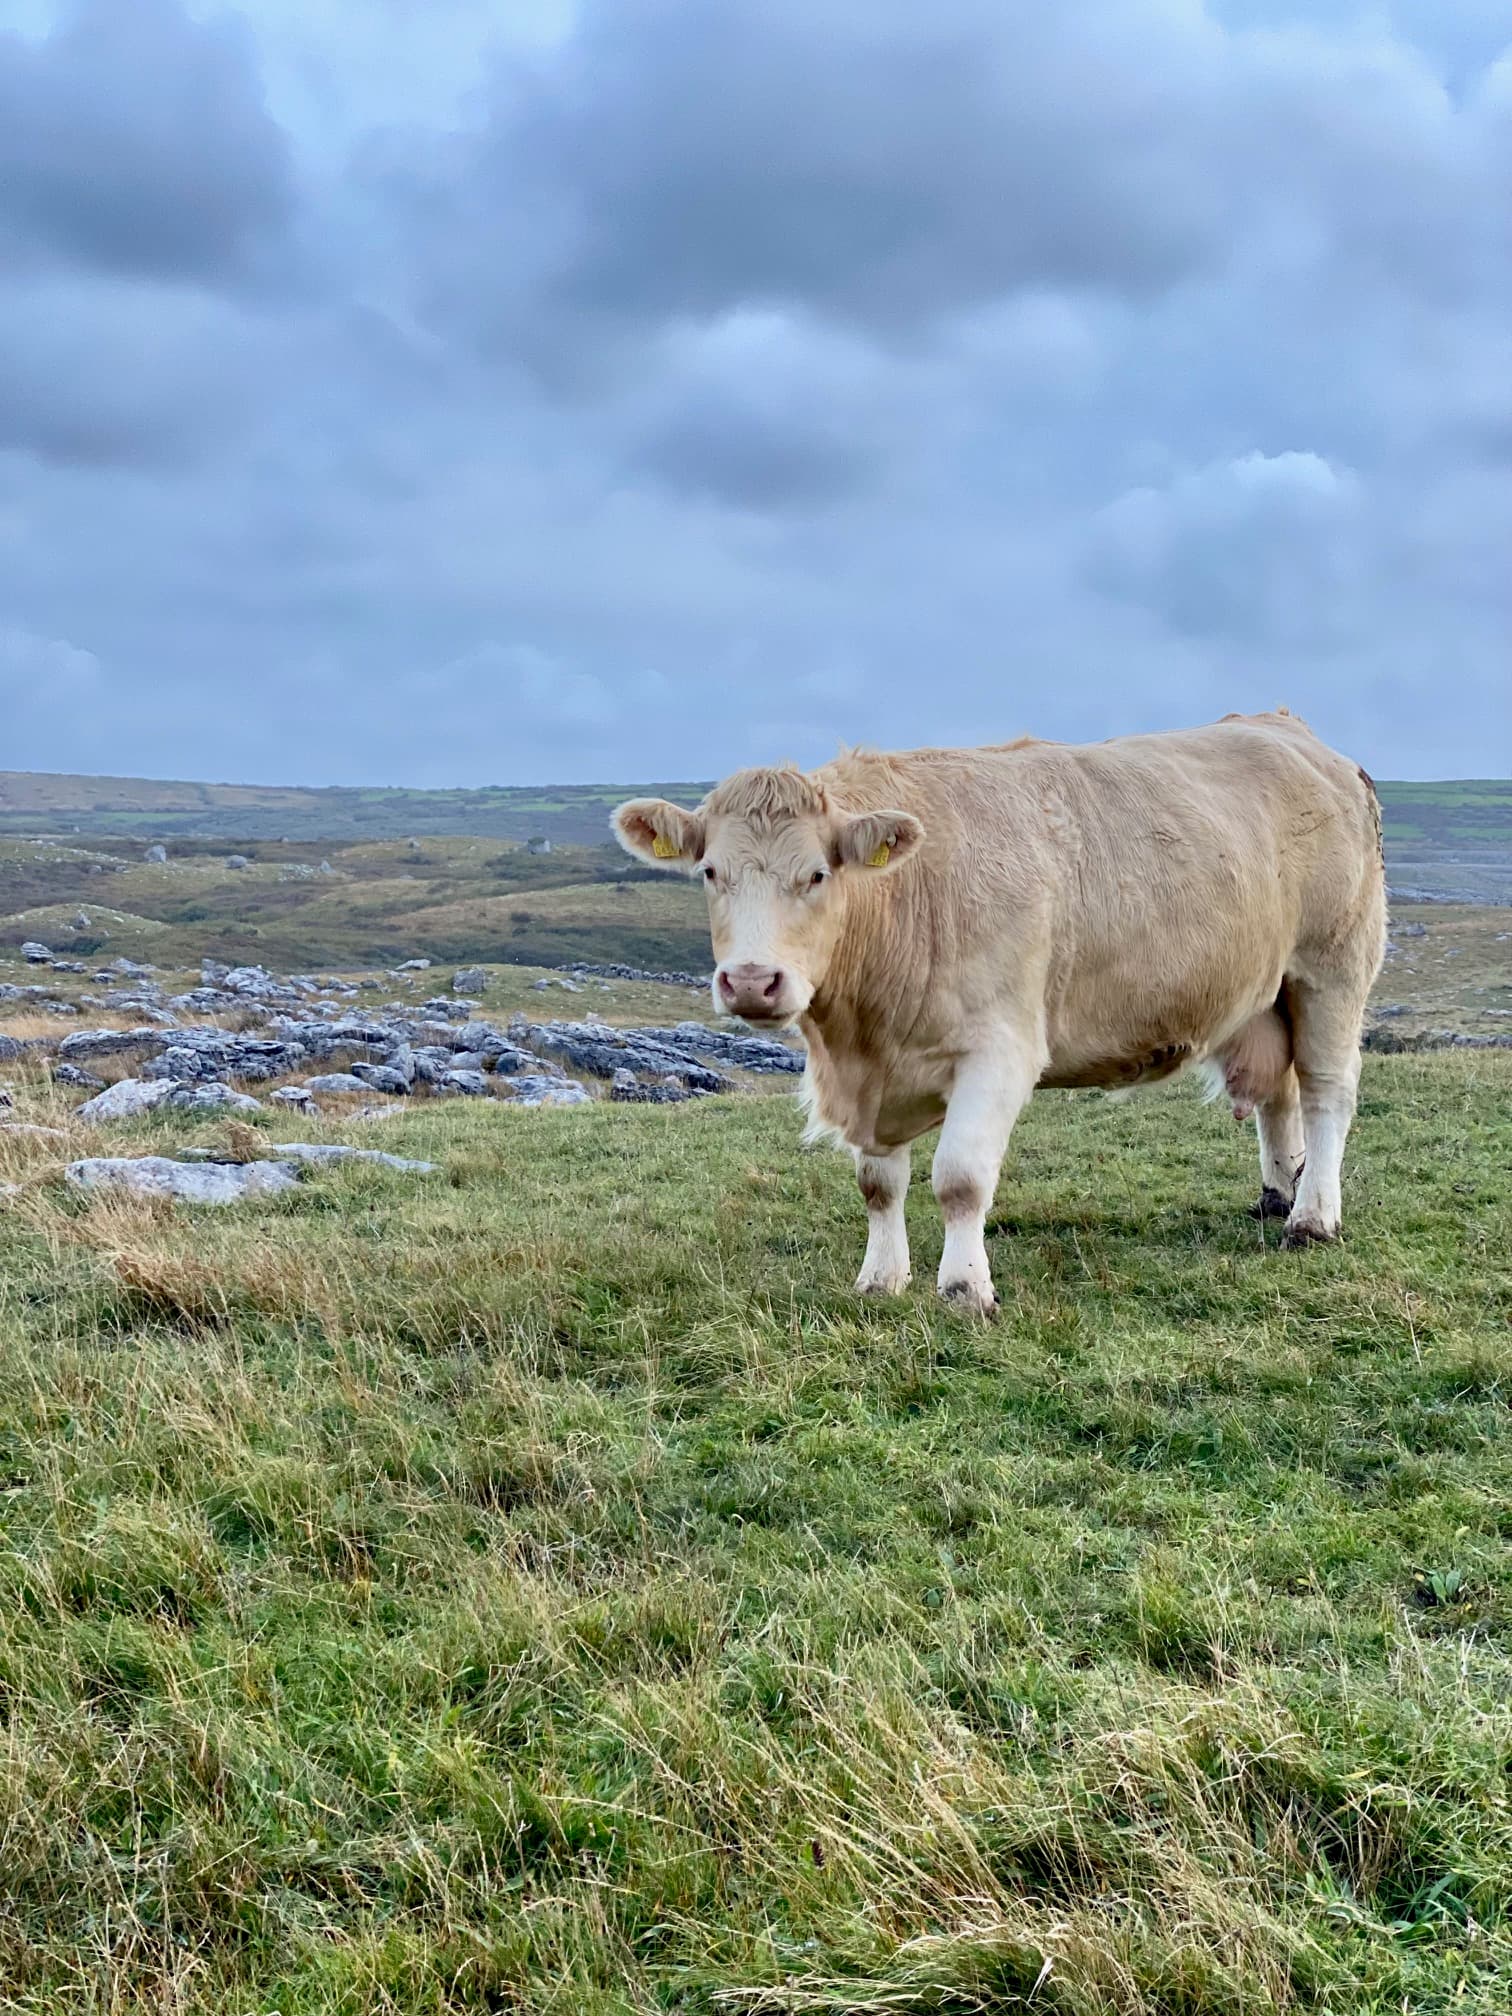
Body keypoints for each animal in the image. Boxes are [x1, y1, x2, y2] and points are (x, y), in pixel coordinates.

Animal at [612, 710, 1386, 1314]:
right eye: (710, 872)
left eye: (818, 874)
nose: (751, 982)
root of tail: (1287, 729)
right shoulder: (874, 1069)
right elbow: (878, 1184)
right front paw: (881, 1278)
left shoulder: (1000, 1049)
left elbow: (959, 1178)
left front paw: (964, 1289)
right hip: (1271, 991)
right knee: (1279, 1095)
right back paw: (1278, 1194)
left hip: (1331, 967)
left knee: (1325, 1092)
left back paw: (1313, 1218)